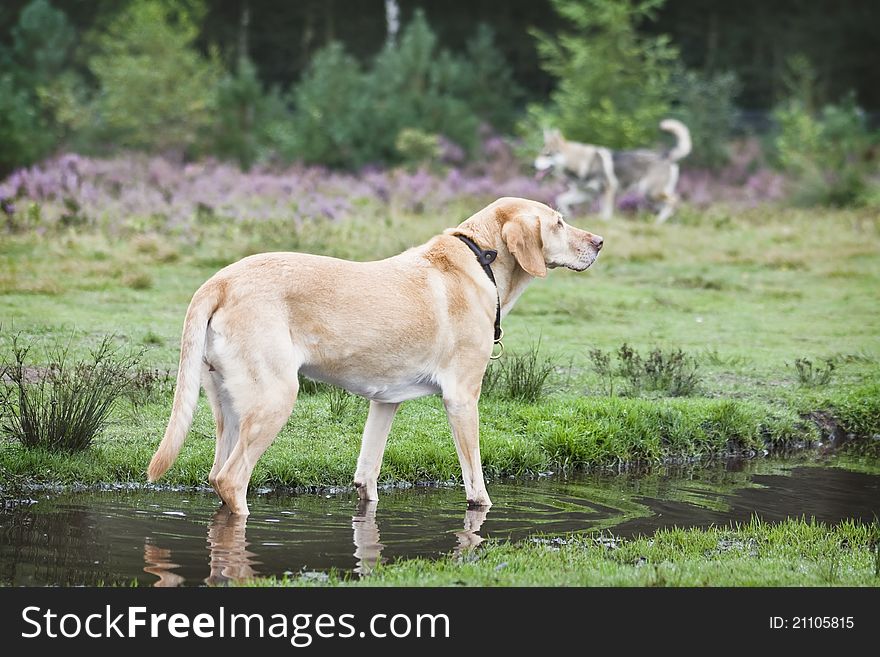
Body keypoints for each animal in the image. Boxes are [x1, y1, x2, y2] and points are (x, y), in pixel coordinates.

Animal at [150, 197, 604, 516]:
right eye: (559, 222)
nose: (600, 242)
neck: (483, 257)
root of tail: (220, 280)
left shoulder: (385, 403)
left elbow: (366, 476)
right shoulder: (462, 399)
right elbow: (476, 485)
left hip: (228, 407)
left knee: (216, 475)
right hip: (275, 399)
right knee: (232, 479)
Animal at [532, 121, 692, 226]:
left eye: (547, 154)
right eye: (541, 153)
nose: (533, 164)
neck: (581, 162)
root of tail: (665, 156)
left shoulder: (607, 190)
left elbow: (605, 214)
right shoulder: (586, 193)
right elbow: (561, 200)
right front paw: (567, 216)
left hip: (651, 192)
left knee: (676, 201)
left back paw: (660, 222)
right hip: (652, 197)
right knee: (670, 205)